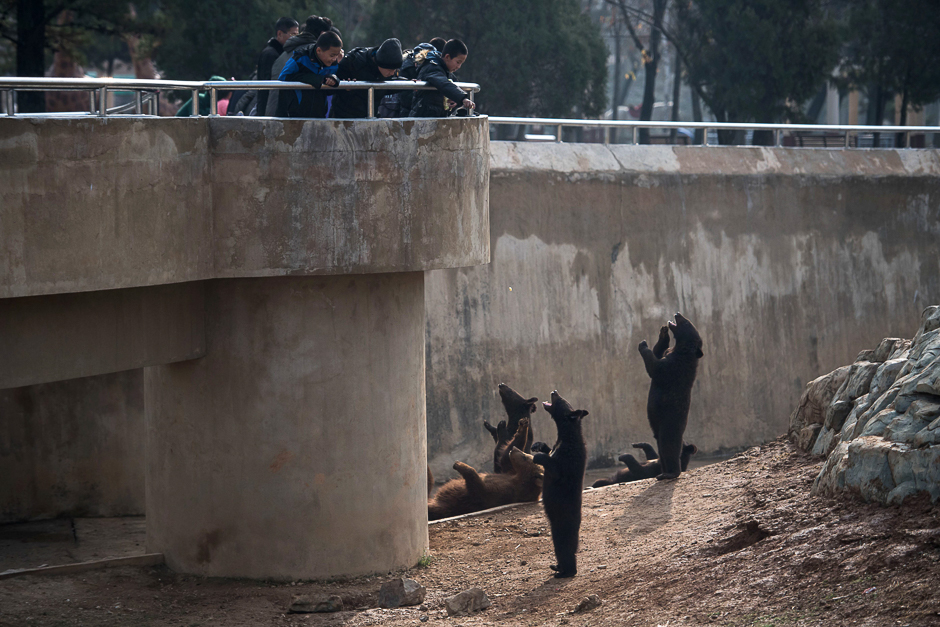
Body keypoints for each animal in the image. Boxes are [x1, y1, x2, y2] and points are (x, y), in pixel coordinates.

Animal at [532, 392, 584, 580]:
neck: (566, 436)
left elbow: (552, 467)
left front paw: (537, 456)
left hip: (561, 529)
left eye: (561, 400)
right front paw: (538, 445)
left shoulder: (565, 462)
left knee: (566, 552)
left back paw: (565, 572)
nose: (554, 391)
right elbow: (547, 450)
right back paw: (557, 567)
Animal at [640, 312, 704, 480]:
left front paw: (643, 344)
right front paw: (663, 333)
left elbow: (655, 367)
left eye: (687, 322)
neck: (682, 350)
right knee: (661, 450)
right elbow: (658, 352)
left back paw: (670, 473)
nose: (677, 313)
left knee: (669, 447)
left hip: (669, 423)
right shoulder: (669, 354)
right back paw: (662, 472)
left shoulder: (674, 368)